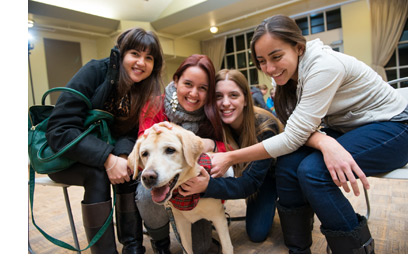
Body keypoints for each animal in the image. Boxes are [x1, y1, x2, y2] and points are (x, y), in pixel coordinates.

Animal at [129, 124, 234, 256]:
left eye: (170, 150)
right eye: (144, 154)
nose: (148, 177)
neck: (185, 196)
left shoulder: (218, 218)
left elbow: (227, 248)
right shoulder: (181, 224)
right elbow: (187, 250)